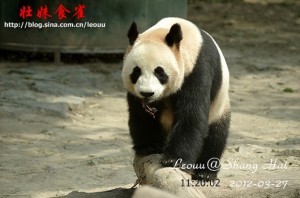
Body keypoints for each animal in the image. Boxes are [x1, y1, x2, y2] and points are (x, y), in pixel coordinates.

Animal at [122, 17, 230, 181]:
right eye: (136, 71)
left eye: (159, 72)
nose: (147, 93)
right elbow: (140, 114)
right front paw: (149, 146)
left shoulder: (199, 68)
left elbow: (192, 114)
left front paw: (174, 160)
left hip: (219, 106)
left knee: (216, 136)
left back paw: (205, 173)